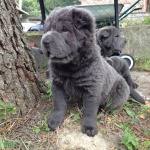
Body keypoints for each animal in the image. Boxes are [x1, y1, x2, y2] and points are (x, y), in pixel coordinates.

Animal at [40, 6, 129, 137]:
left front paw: (89, 127)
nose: (45, 41)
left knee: (112, 106)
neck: (70, 67)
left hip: (119, 90)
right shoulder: (57, 85)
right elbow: (59, 104)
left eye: (64, 30)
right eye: (46, 30)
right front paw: (54, 121)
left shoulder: (92, 89)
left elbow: (89, 111)